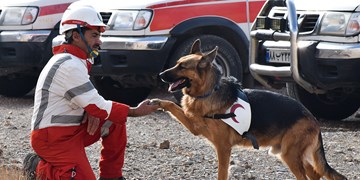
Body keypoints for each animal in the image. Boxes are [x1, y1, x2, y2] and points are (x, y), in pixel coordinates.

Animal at [150, 38, 348, 179]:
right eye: (177, 63)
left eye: (182, 66)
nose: (160, 74)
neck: (209, 91)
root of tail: (312, 118)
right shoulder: (195, 127)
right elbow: (172, 105)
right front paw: (157, 102)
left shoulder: (223, 148)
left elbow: (222, 174)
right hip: (291, 153)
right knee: (315, 173)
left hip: (290, 155)